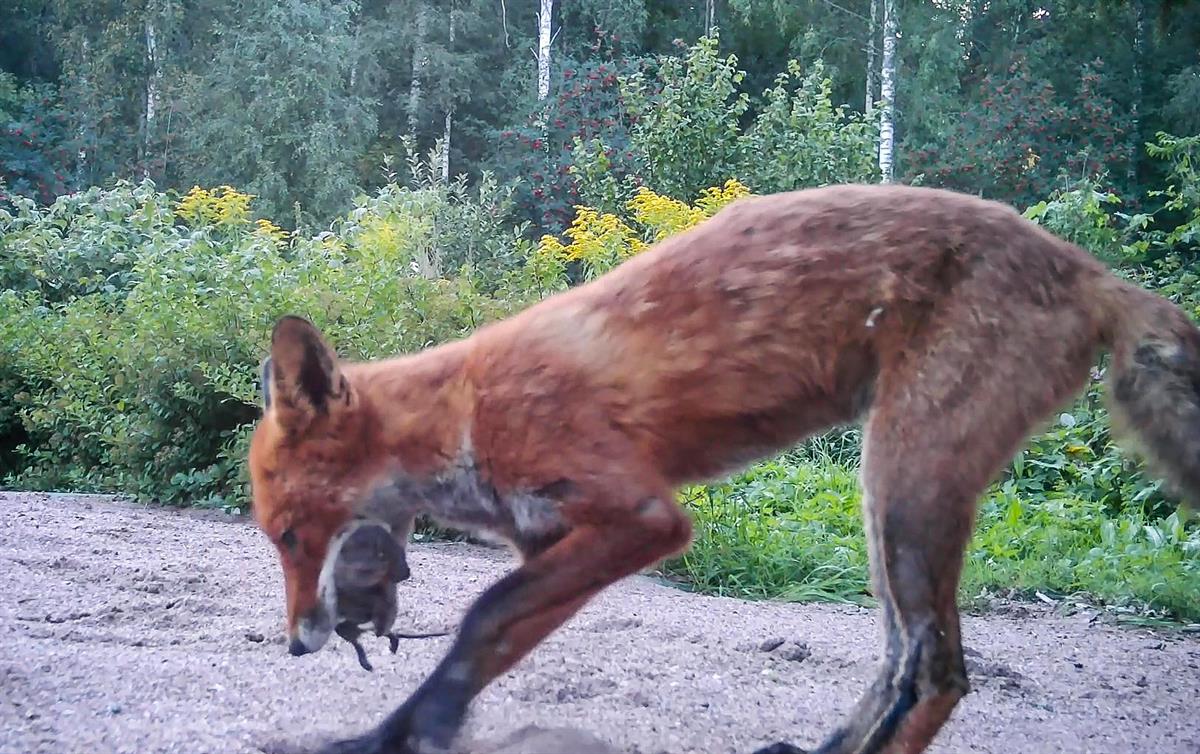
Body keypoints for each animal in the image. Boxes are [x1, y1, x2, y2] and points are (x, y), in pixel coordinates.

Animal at [248, 183, 1195, 754]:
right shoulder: (554, 543)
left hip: (905, 483)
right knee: (902, 661)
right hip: (888, 503)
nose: (293, 645)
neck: (466, 413)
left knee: (936, 671)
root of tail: (1093, 271)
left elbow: (481, 618)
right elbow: (487, 645)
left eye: (290, 536)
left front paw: (411, 731)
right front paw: (400, 732)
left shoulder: (642, 518)